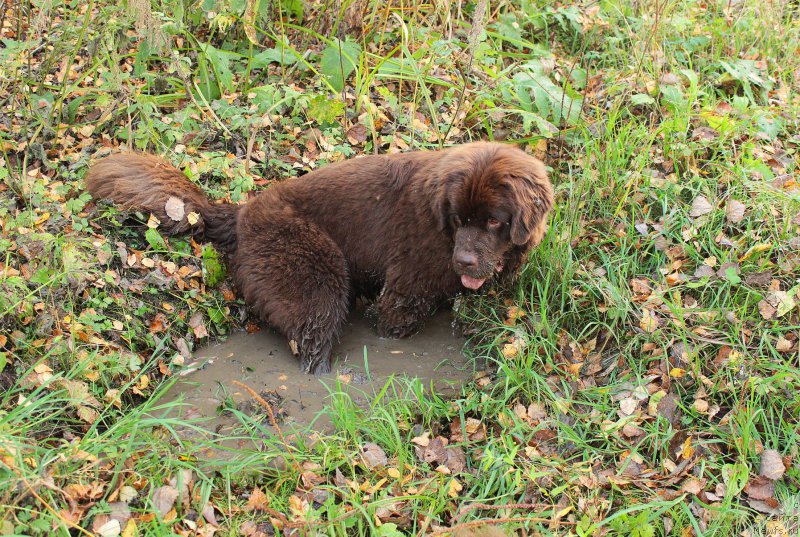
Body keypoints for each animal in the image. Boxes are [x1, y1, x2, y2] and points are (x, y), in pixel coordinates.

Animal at [86, 142, 552, 372]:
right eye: (457, 219)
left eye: (493, 221)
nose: (466, 263)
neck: (445, 236)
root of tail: (242, 213)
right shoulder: (406, 288)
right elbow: (393, 323)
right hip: (313, 268)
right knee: (313, 331)